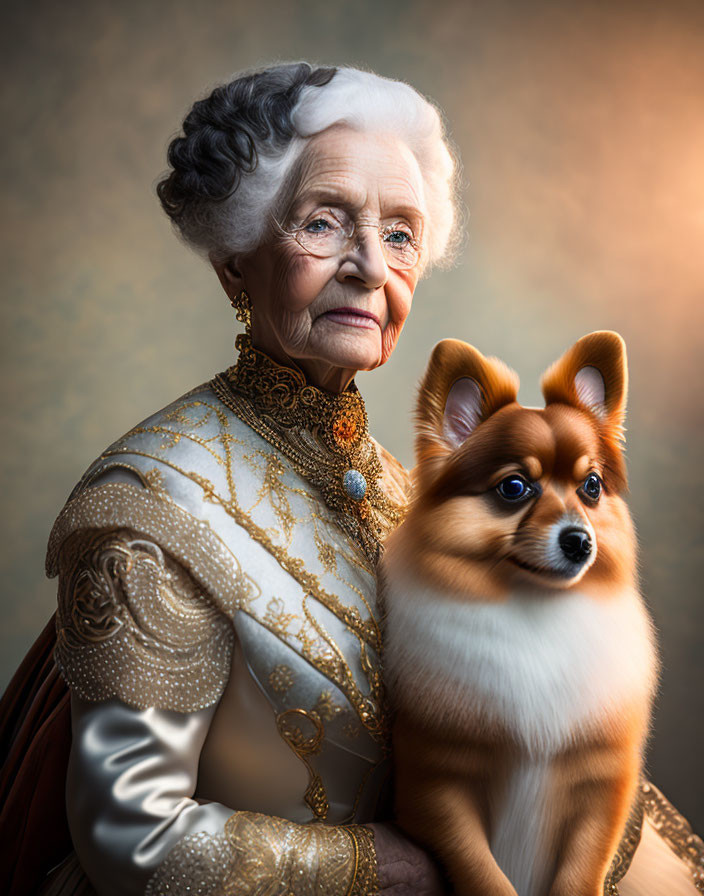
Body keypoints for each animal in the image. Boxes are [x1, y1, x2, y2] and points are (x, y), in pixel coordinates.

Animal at [382, 330, 656, 896]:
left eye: (591, 486)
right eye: (514, 488)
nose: (579, 541)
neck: (537, 613)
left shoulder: (602, 786)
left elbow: (581, 872)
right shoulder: (436, 782)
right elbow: (483, 874)